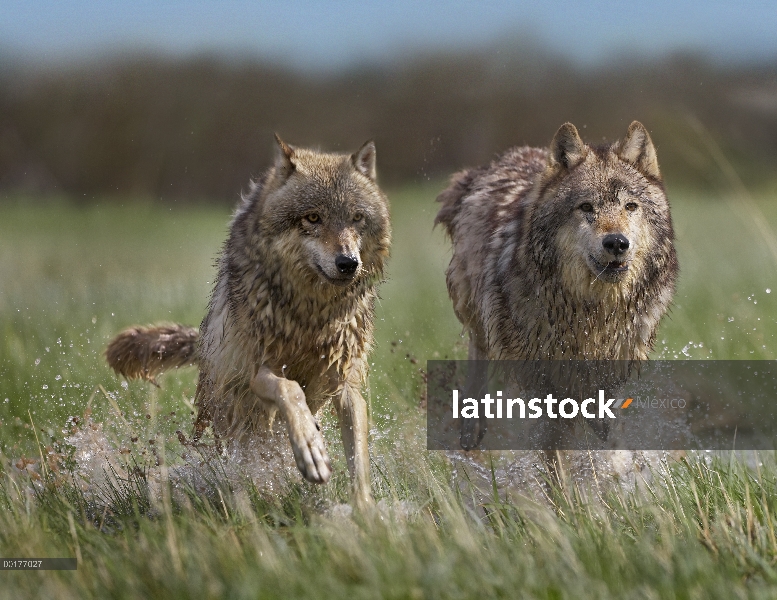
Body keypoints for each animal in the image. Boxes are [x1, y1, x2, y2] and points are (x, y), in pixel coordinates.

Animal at [106, 137, 392, 506]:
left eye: (356, 218)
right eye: (313, 217)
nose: (348, 263)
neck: (312, 316)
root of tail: (204, 342)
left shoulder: (344, 382)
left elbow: (359, 460)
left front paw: (366, 511)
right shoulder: (259, 370)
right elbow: (290, 390)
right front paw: (310, 450)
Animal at [436, 119, 680, 452]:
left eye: (630, 206)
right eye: (586, 207)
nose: (617, 243)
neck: (591, 311)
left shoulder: (609, 373)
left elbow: (608, 433)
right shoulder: (543, 380)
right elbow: (553, 447)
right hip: (474, 306)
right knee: (479, 347)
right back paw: (471, 427)